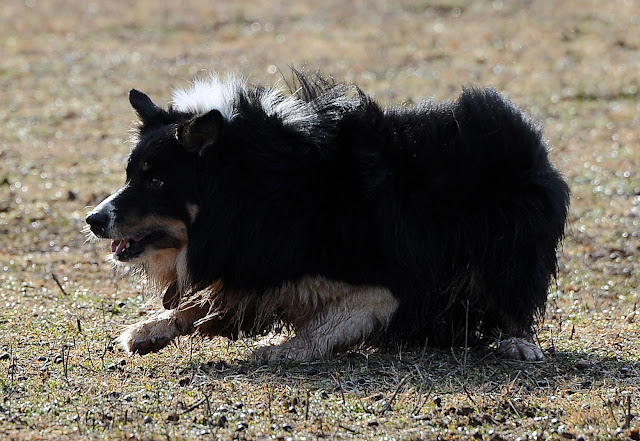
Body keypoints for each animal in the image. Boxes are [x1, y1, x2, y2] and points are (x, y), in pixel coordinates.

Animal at [85, 71, 568, 360]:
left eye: (157, 182)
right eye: (130, 174)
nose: (93, 219)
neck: (251, 194)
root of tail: (528, 132)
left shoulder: (387, 283)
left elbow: (327, 323)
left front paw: (283, 347)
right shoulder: (254, 263)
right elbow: (208, 302)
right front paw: (149, 330)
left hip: (506, 244)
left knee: (512, 299)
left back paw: (519, 343)